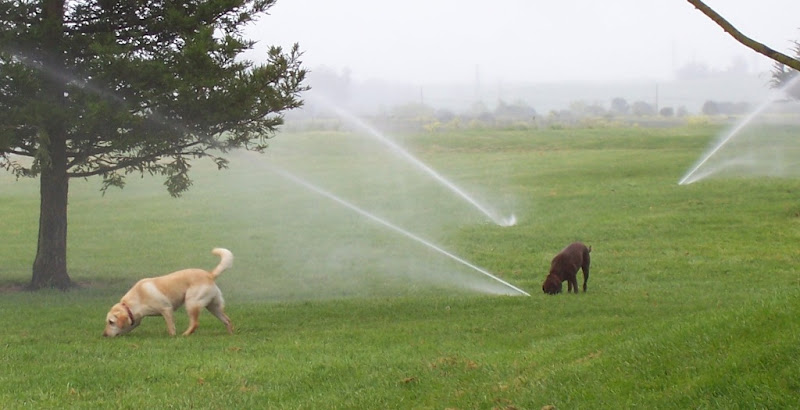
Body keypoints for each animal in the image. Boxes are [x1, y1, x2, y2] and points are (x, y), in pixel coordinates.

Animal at [103, 247, 234, 336]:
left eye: (111, 322)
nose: (104, 335)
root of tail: (209, 275)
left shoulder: (166, 309)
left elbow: (171, 328)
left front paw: (172, 337)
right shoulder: (136, 319)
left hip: (191, 303)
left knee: (195, 323)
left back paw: (184, 335)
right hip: (213, 307)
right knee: (227, 320)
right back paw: (230, 334)